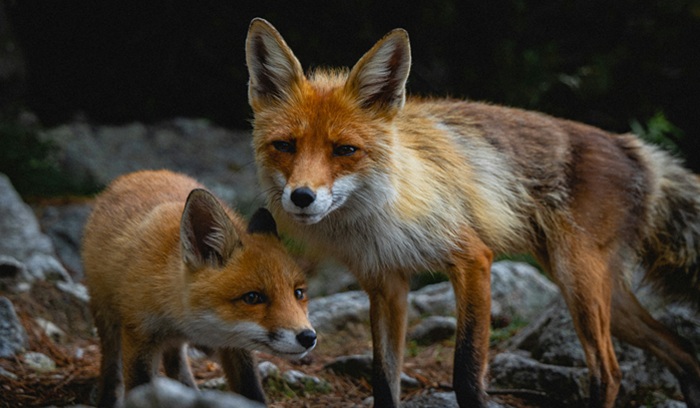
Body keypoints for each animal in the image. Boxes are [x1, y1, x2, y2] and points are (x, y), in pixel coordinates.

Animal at [82, 169, 316, 407]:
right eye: (252, 298)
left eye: (298, 293)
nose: (308, 337)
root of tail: (140, 173)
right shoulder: (139, 334)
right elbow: (138, 388)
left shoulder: (235, 345)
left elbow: (251, 391)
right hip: (107, 319)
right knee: (112, 366)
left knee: (175, 363)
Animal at [245, 18, 700, 408]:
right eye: (285, 146)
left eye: (345, 150)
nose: (302, 197)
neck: (378, 216)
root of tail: (632, 146)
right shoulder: (386, 283)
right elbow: (383, 380)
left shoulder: (473, 259)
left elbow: (466, 373)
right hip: (602, 296)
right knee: (683, 352)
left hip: (579, 283)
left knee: (610, 372)